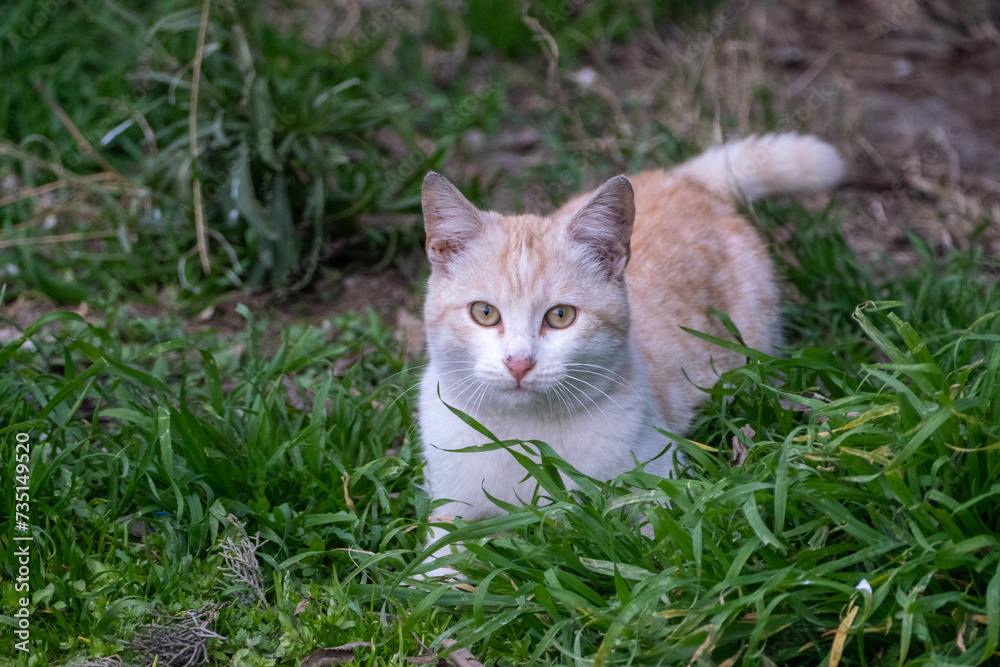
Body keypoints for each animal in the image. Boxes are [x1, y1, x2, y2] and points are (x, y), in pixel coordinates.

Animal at [414, 132, 844, 576]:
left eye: (561, 316)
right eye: (484, 313)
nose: (519, 363)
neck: (525, 436)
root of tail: (679, 180)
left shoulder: (664, 481)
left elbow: (662, 543)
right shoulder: (449, 507)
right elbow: (435, 563)